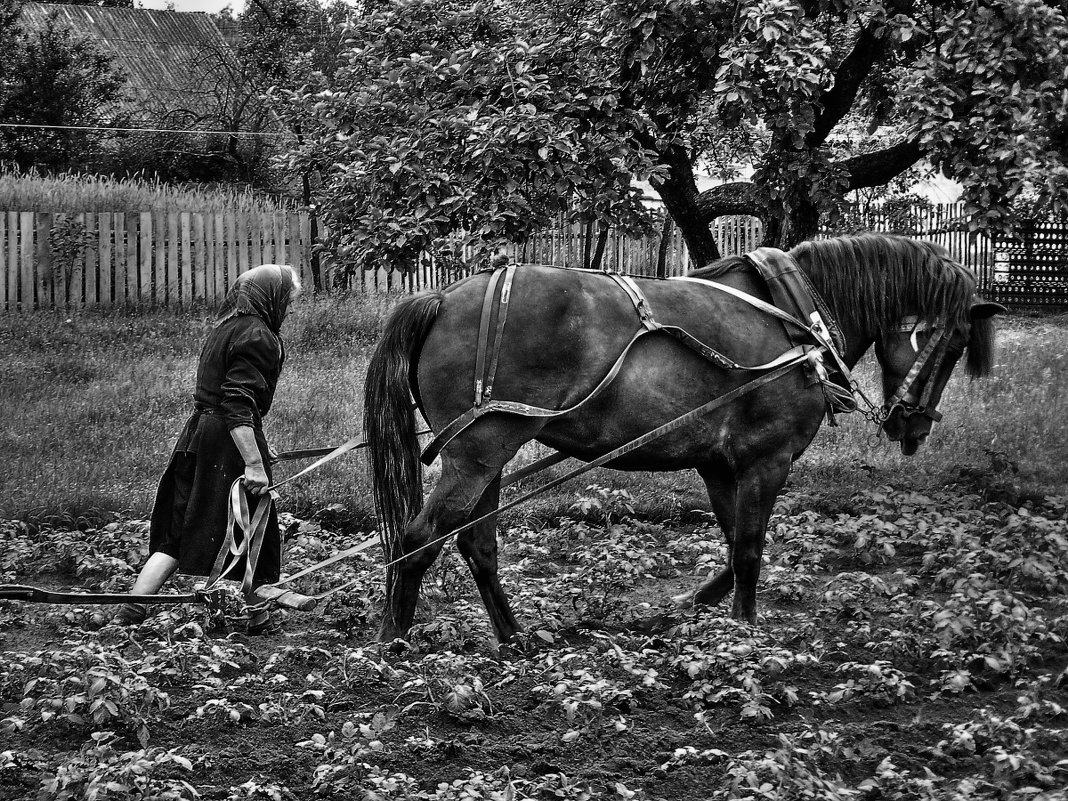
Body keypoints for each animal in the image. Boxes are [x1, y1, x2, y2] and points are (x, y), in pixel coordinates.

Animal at [365, 233, 999, 645]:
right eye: (955, 342)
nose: (914, 426)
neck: (797, 320)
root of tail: (442, 299)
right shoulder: (767, 459)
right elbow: (750, 546)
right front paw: (743, 634)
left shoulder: (720, 464)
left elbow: (733, 541)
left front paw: (694, 605)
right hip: (477, 451)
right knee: (418, 539)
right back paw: (394, 643)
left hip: (489, 454)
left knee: (477, 544)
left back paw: (515, 637)